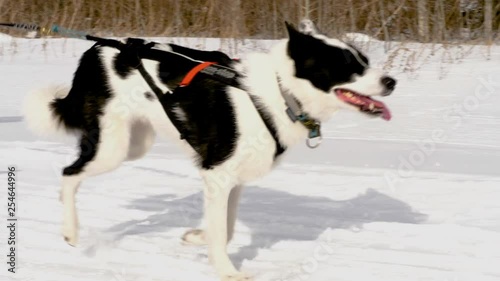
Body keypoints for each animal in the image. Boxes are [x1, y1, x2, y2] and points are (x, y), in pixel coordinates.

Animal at [23, 21, 396, 280]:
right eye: (348, 66)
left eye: (365, 60)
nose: (391, 81)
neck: (280, 92)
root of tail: (96, 49)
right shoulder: (217, 173)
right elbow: (221, 234)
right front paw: (227, 271)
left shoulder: (232, 180)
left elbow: (225, 228)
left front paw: (196, 236)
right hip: (111, 148)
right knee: (69, 174)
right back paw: (70, 229)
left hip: (134, 144)